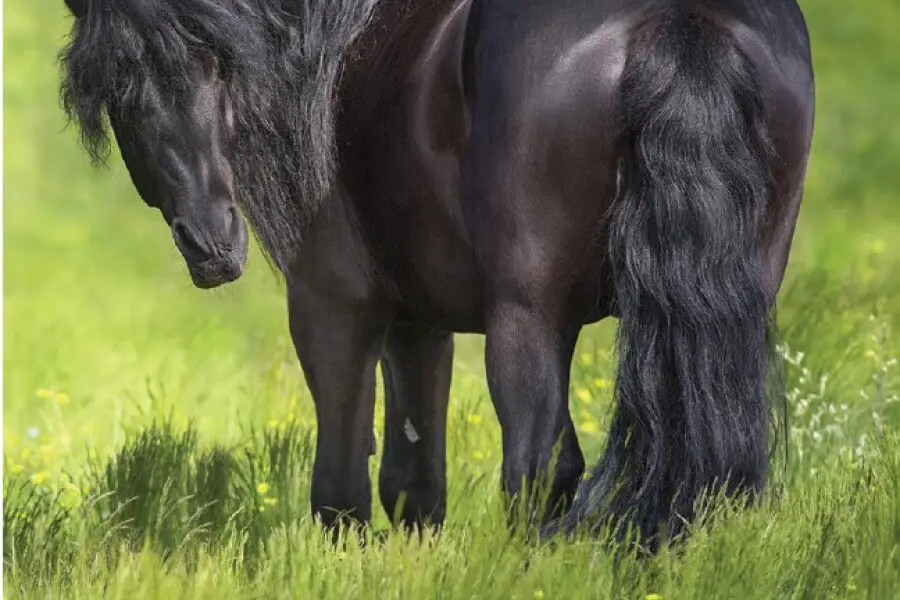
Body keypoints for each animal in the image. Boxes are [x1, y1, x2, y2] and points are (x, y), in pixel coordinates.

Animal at [58, 0, 814, 544]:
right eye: (117, 94)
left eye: (218, 64)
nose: (211, 245)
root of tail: (674, 17)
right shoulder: (417, 322)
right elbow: (414, 486)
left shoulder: (335, 305)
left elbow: (342, 492)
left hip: (528, 318)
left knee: (539, 466)